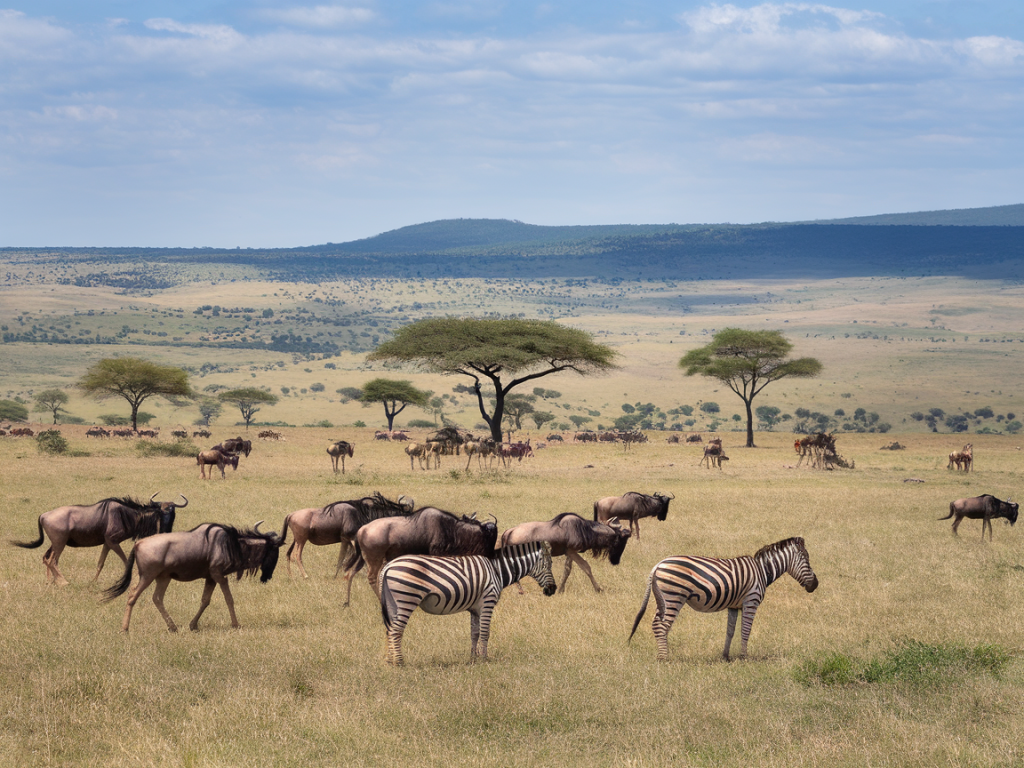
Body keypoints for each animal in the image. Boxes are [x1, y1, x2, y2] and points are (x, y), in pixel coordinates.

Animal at [378, 540, 557, 667]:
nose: (553, 589)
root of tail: (388, 566)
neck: (497, 570)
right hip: (406, 598)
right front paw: (484, 659)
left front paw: (473, 658)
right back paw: (399, 662)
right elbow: (485, 633)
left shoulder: (475, 608)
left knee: (389, 629)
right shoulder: (488, 601)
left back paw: (389, 660)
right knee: (396, 630)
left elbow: (474, 633)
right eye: (549, 565)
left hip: (392, 602)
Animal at [622, 536, 815, 663]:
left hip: (662, 599)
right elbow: (746, 630)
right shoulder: (751, 601)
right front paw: (744, 658)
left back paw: (662, 655)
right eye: (807, 559)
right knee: (661, 626)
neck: (762, 571)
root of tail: (658, 565)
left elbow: (730, 631)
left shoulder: (734, 605)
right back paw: (664, 658)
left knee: (656, 624)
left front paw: (726, 656)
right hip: (674, 597)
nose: (816, 584)